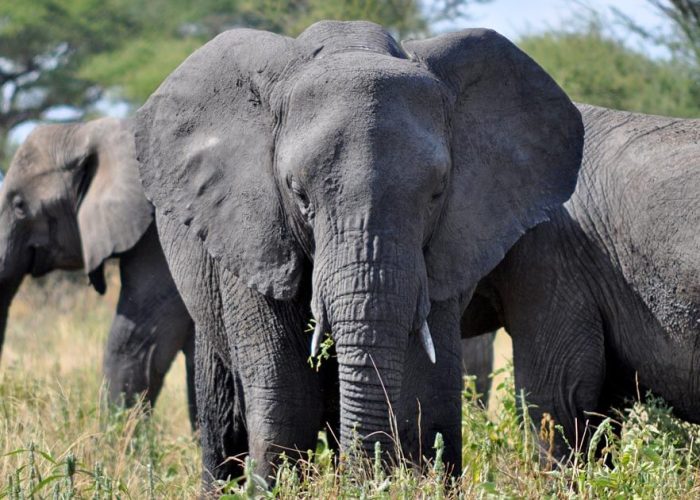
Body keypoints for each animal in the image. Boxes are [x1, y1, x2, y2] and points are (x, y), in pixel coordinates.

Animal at [133, 20, 583, 484]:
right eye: (298, 194)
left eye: (437, 193)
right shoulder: (252, 232)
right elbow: (288, 399)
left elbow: (430, 392)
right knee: (224, 413)